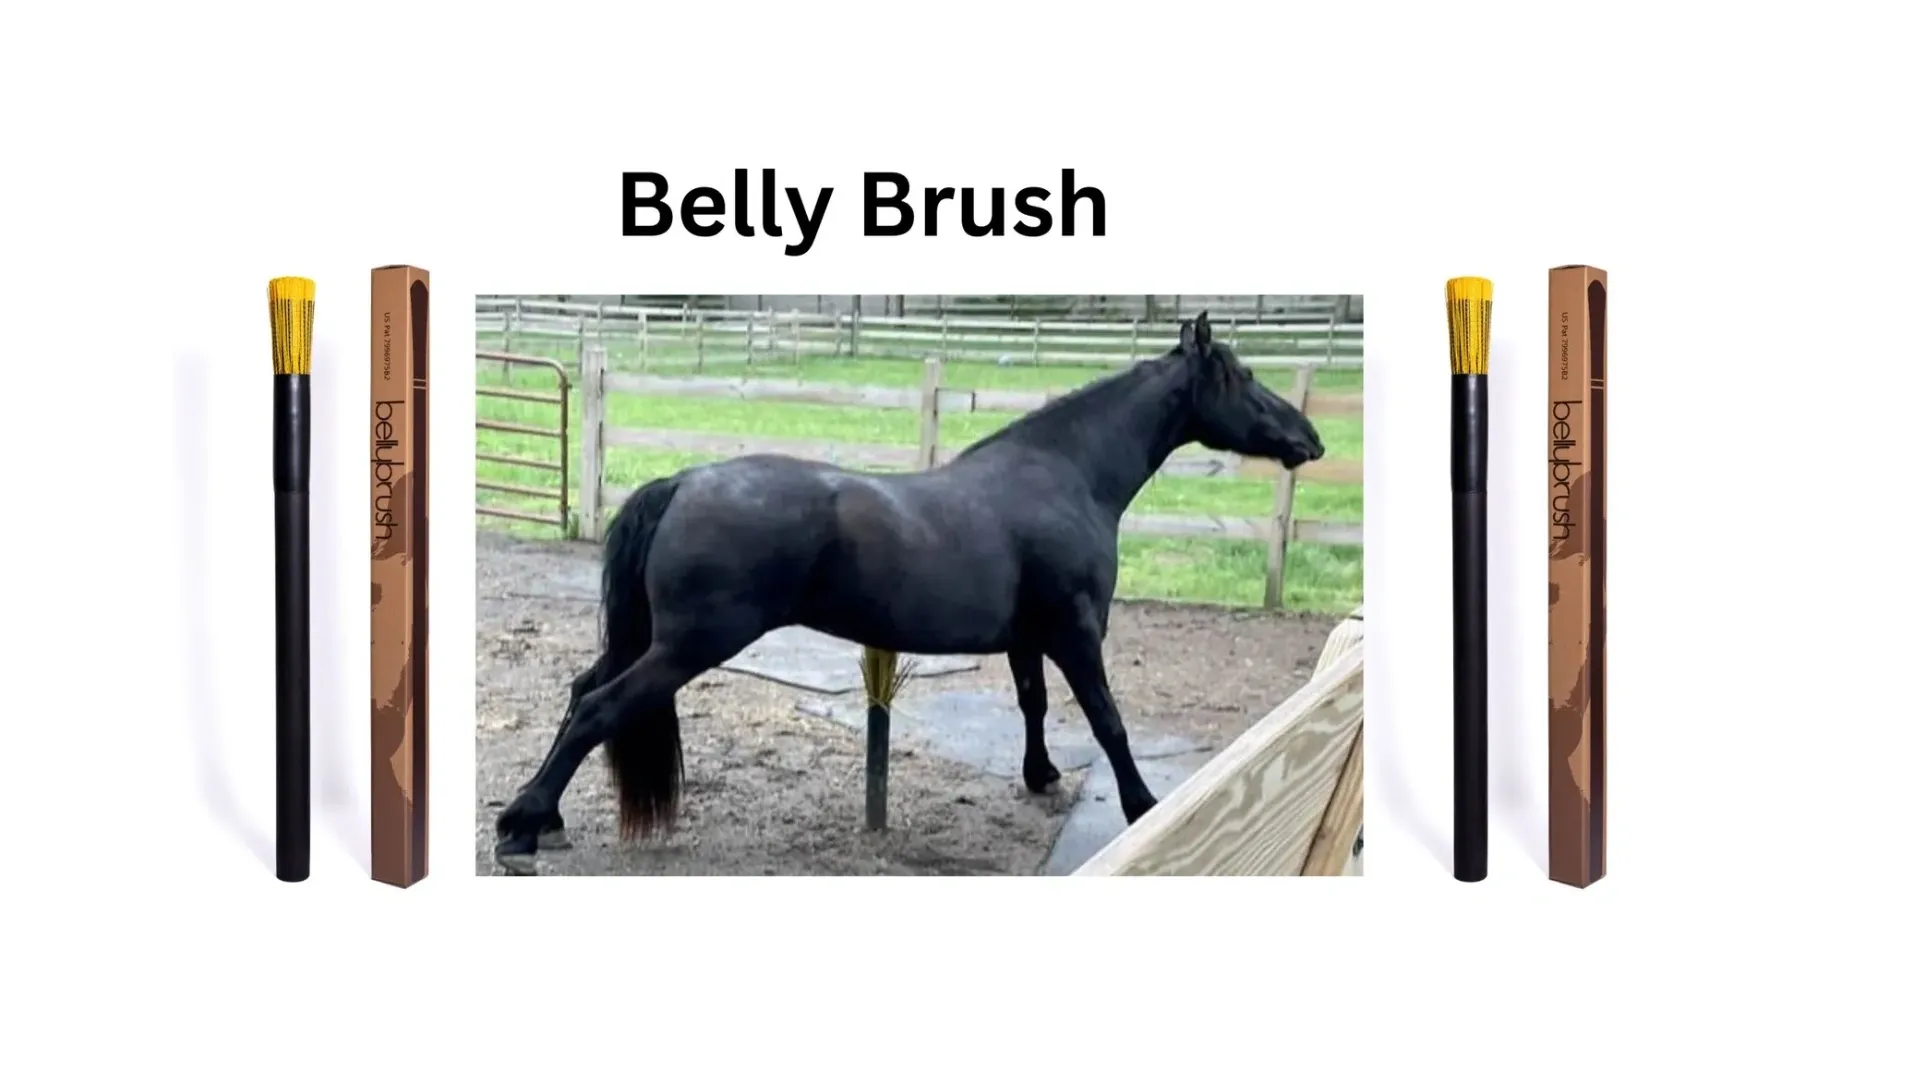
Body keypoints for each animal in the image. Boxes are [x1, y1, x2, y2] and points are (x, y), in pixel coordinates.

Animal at [493, 310, 1326, 874]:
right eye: (1244, 379)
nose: (1310, 441)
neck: (1065, 476)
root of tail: (684, 481)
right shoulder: (1077, 632)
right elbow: (1108, 721)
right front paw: (1144, 806)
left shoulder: (1028, 639)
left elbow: (1034, 706)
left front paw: (1041, 777)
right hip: (688, 644)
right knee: (600, 707)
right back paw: (520, 828)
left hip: (655, 640)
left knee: (582, 692)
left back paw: (543, 817)